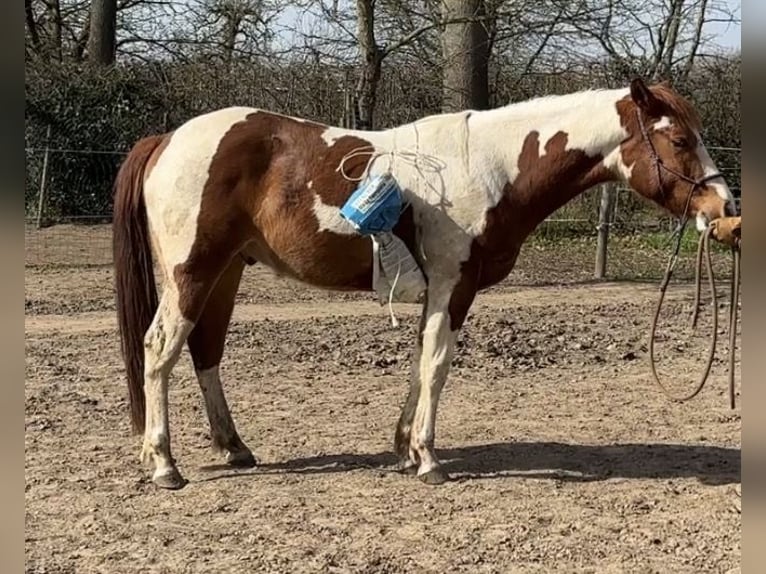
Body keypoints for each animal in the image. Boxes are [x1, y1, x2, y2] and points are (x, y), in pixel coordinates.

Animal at [112, 77, 737, 490]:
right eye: (679, 141)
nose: (724, 209)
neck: (491, 167)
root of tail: (167, 139)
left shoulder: (437, 292)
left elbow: (418, 363)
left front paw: (404, 450)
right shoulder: (453, 286)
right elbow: (436, 365)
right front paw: (429, 459)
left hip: (225, 274)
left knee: (205, 351)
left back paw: (234, 448)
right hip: (193, 273)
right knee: (159, 351)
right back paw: (164, 464)